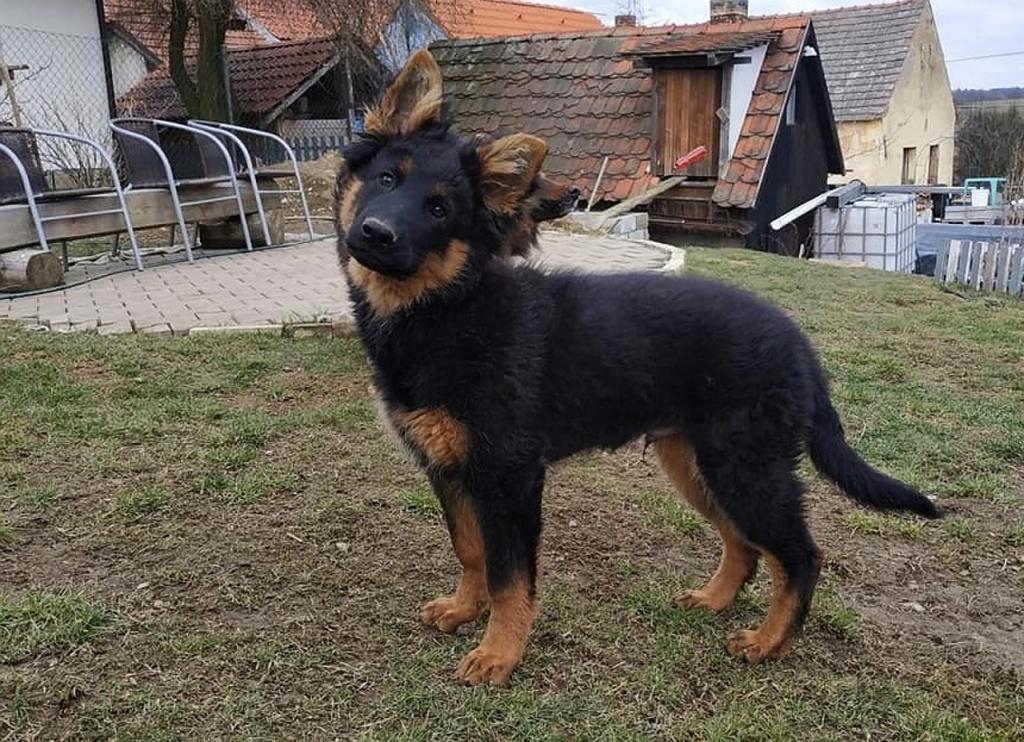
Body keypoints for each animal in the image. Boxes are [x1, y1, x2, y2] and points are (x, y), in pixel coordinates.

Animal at [334, 50, 940, 687]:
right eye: (386, 179)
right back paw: (715, 599)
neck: (448, 307)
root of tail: (798, 343)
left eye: (440, 209)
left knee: (799, 554)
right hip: (695, 462)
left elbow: (509, 575)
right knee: (745, 545)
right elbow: (470, 550)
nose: (374, 234)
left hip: (744, 469)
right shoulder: (449, 469)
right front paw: (463, 609)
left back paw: (769, 641)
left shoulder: (510, 477)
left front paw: (500, 652)